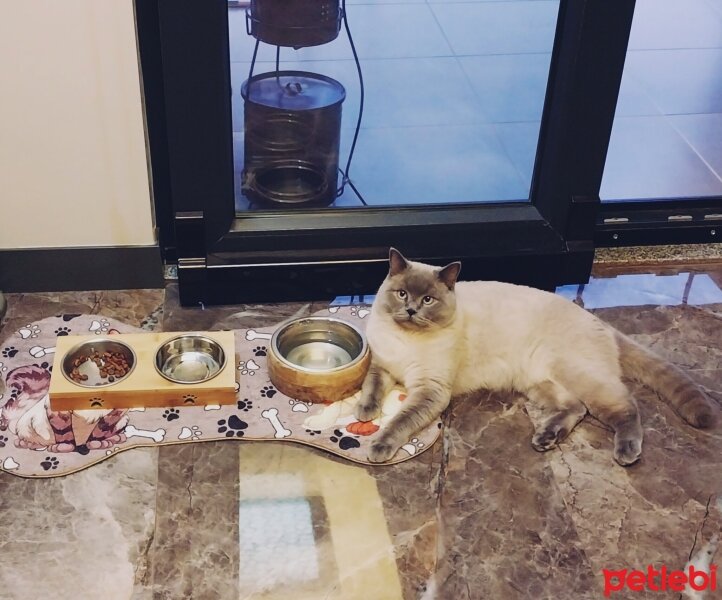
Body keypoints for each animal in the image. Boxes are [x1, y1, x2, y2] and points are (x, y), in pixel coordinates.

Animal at [354, 248, 716, 464]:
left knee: (626, 407)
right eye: (402, 294)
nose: (411, 310)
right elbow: (371, 388)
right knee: (577, 408)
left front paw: (379, 447)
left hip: (575, 374)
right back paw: (545, 438)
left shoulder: (430, 389)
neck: (407, 340)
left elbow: (400, 420)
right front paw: (364, 412)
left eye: (428, 300)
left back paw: (626, 451)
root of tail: (601, 323)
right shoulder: (383, 366)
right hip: (540, 382)